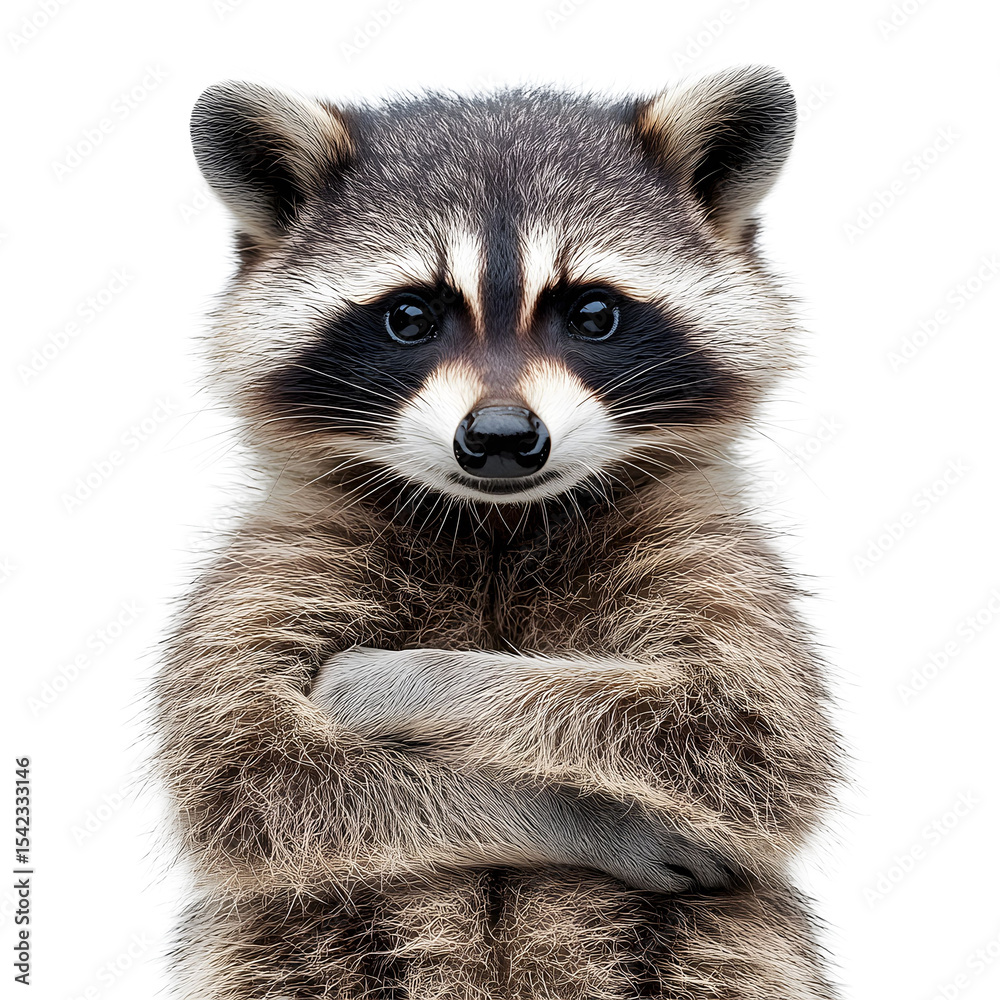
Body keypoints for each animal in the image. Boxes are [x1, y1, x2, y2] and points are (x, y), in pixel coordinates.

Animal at [155, 66, 841, 999]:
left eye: (593, 313)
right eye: (410, 317)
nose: (504, 436)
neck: (497, 523)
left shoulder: (711, 554)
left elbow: (748, 732)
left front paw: (411, 679)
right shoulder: (279, 555)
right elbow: (248, 777)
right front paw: (581, 815)